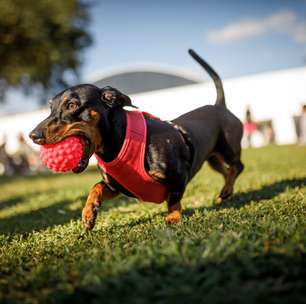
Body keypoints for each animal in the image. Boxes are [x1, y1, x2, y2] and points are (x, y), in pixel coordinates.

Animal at [28, 50, 244, 230]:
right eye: (51, 108)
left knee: (237, 167)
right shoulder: (116, 187)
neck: (118, 144)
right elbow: (96, 187)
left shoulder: (179, 175)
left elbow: (174, 198)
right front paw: (89, 214)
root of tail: (220, 106)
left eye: (72, 105)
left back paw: (226, 191)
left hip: (228, 150)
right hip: (213, 159)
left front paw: (173, 217)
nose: (33, 135)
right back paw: (224, 194)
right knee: (227, 171)